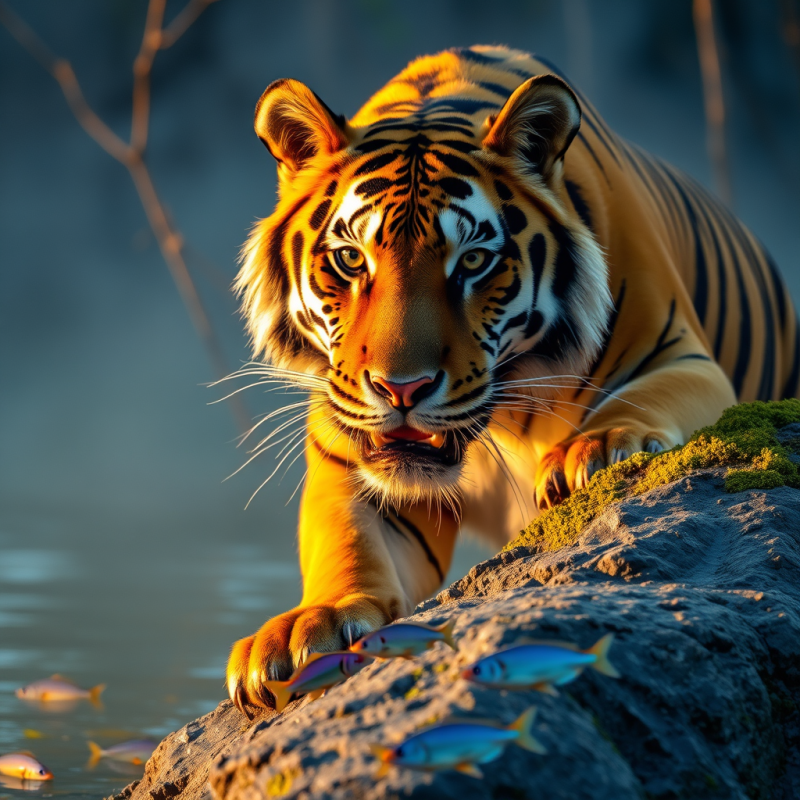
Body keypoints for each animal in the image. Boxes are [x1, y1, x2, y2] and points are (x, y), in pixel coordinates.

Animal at [226, 45, 799, 714]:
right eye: (350, 259)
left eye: (473, 261)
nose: (401, 389)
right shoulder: (351, 453)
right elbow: (343, 539)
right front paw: (304, 628)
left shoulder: (681, 358)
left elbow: (637, 404)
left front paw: (592, 450)